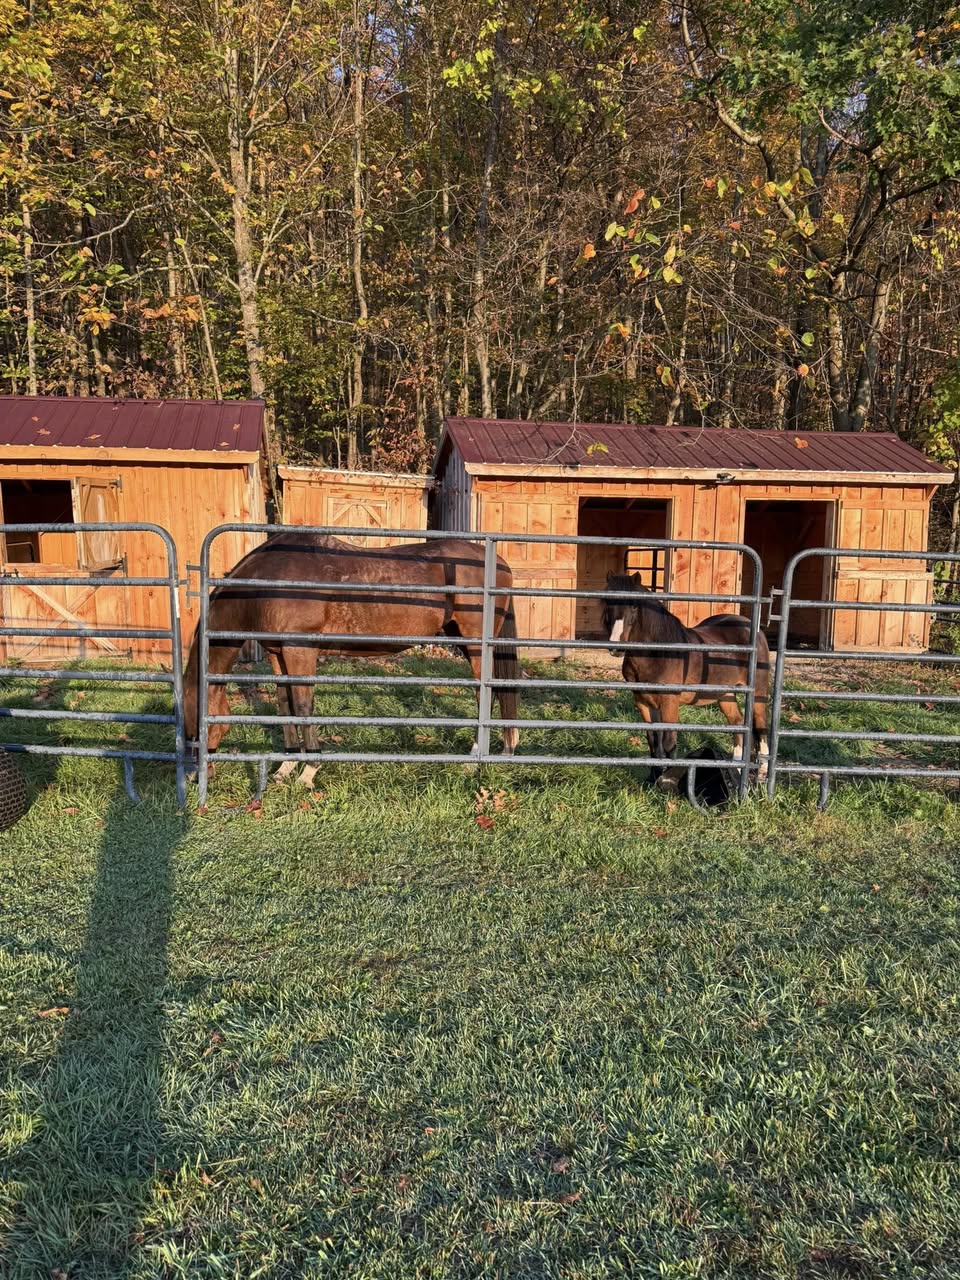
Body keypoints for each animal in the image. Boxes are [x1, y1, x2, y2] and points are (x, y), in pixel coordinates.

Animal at [183, 532, 520, 786]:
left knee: (484, 695)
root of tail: (501, 564)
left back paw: (474, 759)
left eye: (194, 723)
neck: (268, 581)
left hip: (475, 646)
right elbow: (284, 705)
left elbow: (304, 707)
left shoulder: (300, 650)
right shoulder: (278, 655)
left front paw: (308, 771)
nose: (195, 774)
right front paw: (285, 767)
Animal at [602, 572, 770, 784]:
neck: (658, 654)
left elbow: (669, 743)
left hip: (758, 695)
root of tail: (754, 629)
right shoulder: (643, 703)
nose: (616, 647)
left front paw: (667, 779)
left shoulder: (669, 703)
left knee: (761, 728)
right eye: (607, 602)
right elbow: (653, 741)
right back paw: (736, 771)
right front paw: (652, 779)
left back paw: (762, 775)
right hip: (725, 695)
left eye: (634, 605)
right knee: (738, 723)